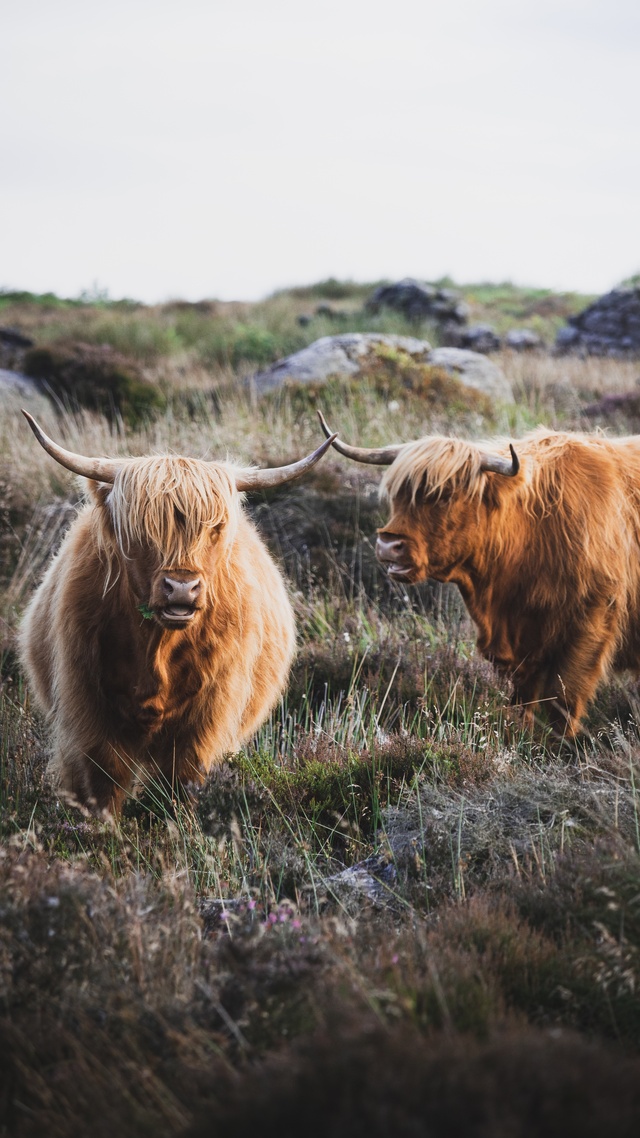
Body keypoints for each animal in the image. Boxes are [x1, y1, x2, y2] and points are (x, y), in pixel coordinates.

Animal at [18, 414, 334, 814]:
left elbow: (180, 780)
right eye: (142, 531)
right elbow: (103, 782)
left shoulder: (205, 720)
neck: (157, 647)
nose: (182, 588)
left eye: (214, 529)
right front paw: (101, 827)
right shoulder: (86, 707)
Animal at [318, 414, 640, 732]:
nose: (388, 544)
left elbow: (562, 703)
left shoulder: (590, 625)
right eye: (397, 495)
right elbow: (522, 701)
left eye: (444, 495)